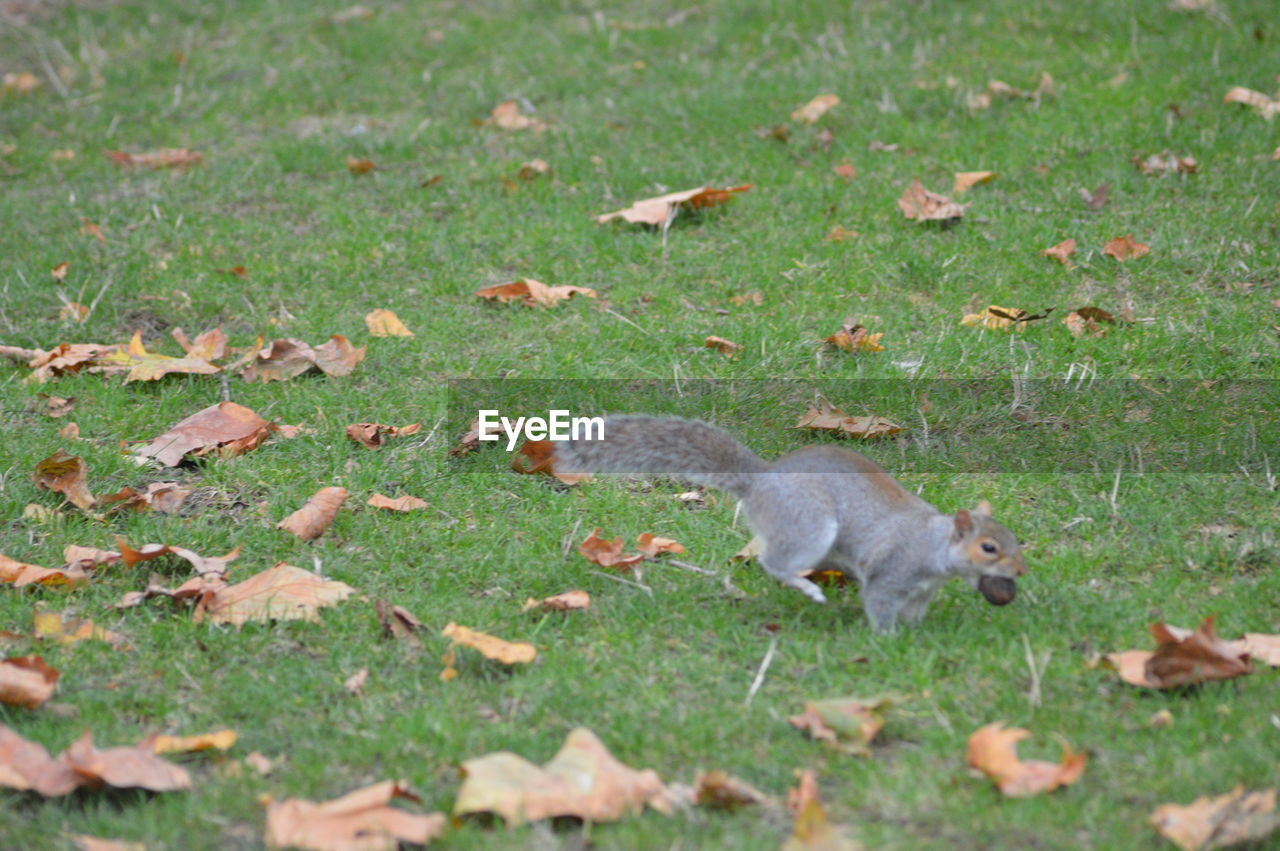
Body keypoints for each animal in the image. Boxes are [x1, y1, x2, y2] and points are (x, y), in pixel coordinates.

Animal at [555, 414, 1024, 627]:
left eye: (1013, 540)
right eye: (988, 548)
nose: (1019, 571)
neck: (935, 546)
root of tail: (762, 481)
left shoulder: (922, 589)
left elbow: (915, 611)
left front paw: (915, 634)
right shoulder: (892, 572)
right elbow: (879, 604)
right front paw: (889, 641)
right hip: (809, 526)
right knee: (774, 563)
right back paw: (806, 587)